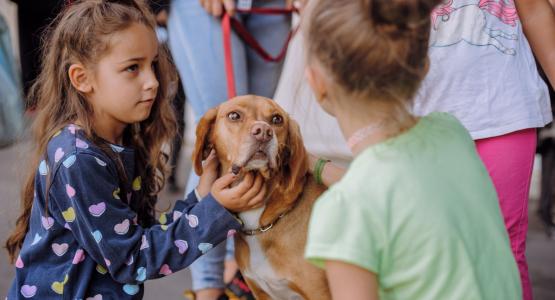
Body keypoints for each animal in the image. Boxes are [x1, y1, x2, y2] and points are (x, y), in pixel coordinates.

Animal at [192, 95, 330, 298]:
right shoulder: (260, 292)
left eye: (277, 119)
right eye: (234, 115)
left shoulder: (320, 292)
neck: (259, 225)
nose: (264, 132)